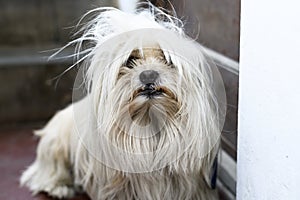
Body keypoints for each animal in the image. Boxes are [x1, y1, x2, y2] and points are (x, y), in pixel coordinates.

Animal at [20, 3, 225, 199]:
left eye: (167, 60)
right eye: (130, 61)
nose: (149, 74)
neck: (148, 124)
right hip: (55, 143)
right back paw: (59, 186)